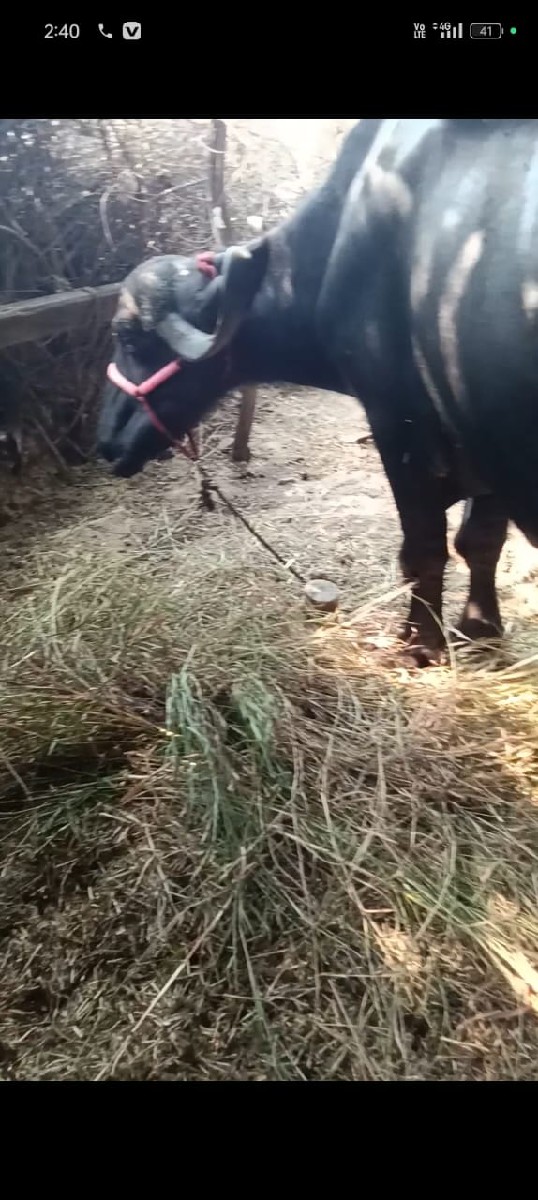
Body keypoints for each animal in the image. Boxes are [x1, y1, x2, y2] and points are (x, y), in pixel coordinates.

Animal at [97, 118, 538, 665]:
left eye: (128, 336)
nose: (106, 440)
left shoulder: (399, 424)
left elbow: (424, 548)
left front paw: (418, 643)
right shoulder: (481, 453)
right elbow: (481, 539)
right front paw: (480, 629)